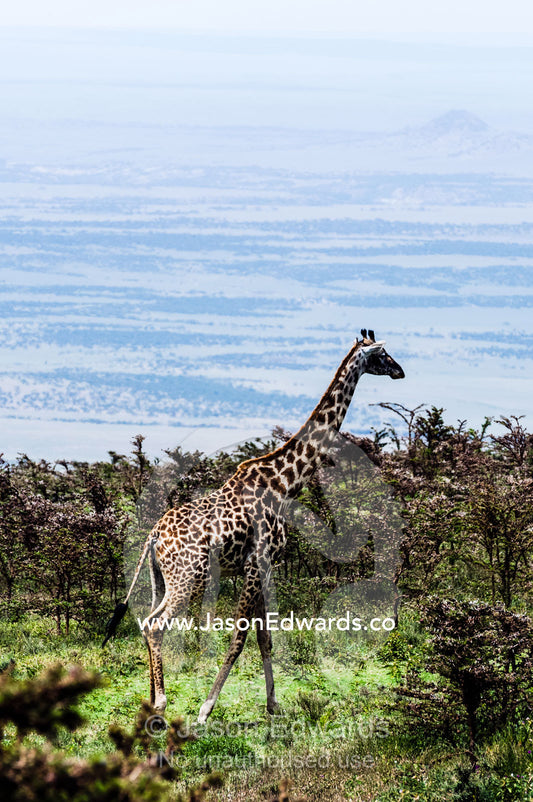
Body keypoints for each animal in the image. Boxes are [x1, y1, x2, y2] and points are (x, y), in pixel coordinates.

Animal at [102, 330, 404, 723]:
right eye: (382, 354)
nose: (400, 370)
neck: (285, 483)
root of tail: (153, 536)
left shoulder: (265, 565)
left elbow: (265, 637)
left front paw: (274, 705)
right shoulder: (256, 561)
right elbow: (239, 638)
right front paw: (205, 710)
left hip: (161, 579)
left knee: (146, 621)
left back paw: (151, 699)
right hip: (187, 577)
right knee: (156, 625)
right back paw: (162, 703)